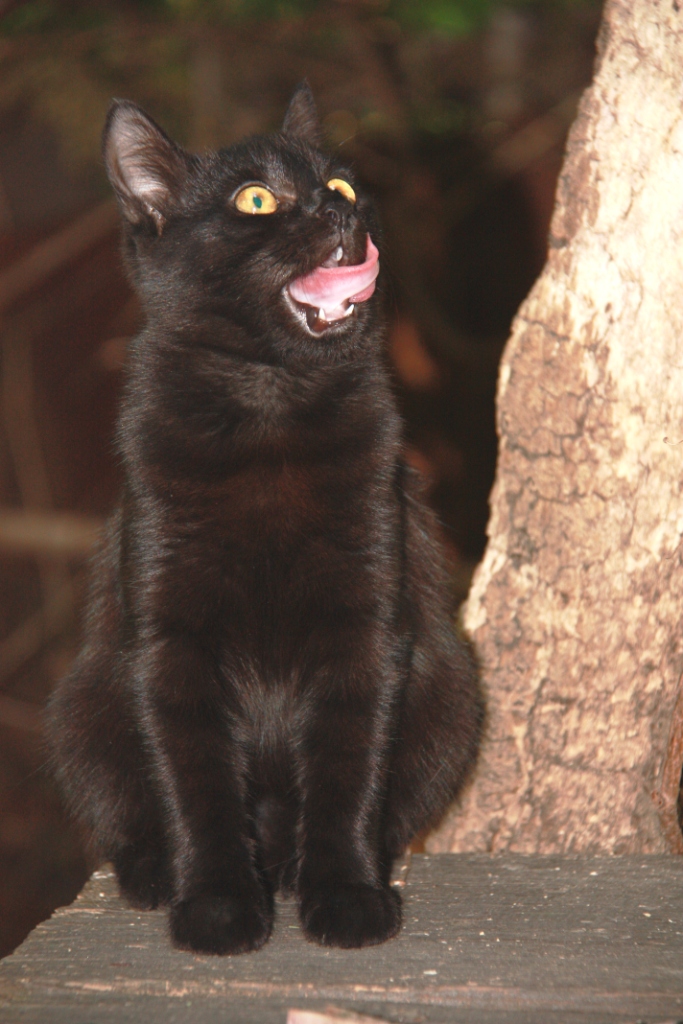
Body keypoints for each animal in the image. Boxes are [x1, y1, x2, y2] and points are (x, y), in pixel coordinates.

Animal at [46, 83, 483, 955]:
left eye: (343, 184)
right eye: (256, 200)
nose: (336, 208)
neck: (270, 407)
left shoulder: (366, 626)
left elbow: (350, 773)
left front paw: (346, 895)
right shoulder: (169, 644)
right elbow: (194, 784)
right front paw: (215, 906)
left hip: (451, 699)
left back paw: (293, 868)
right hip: (83, 708)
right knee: (129, 811)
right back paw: (158, 873)